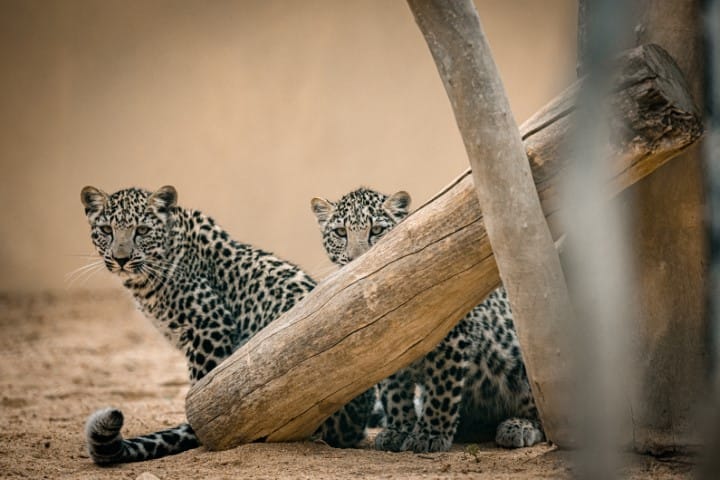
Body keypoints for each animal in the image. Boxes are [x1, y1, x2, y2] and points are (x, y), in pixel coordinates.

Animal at [81, 185, 374, 464]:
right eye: (106, 230)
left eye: (142, 230)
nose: (121, 259)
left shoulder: (209, 323)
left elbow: (205, 385)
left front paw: (198, 425)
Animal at [310, 188, 544, 454]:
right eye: (340, 232)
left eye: (376, 230)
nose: (356, 260)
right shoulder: (386, 352)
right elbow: (394, 393)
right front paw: (399, 430)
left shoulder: (453, 340)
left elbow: (442, 391)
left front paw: (430, 435)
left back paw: (518, 427)